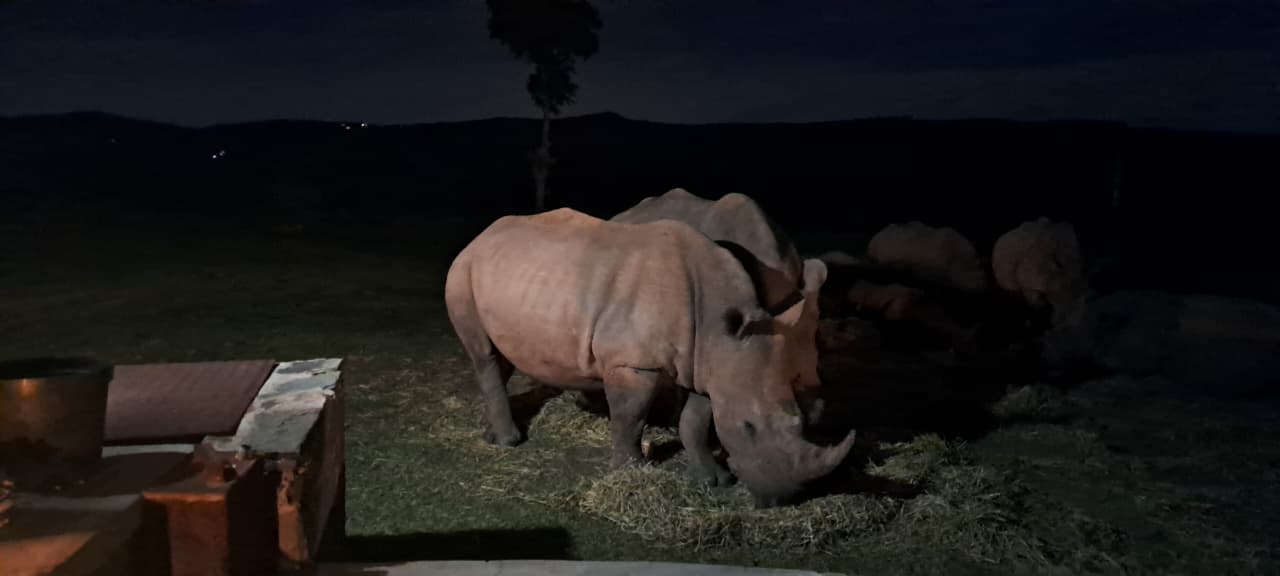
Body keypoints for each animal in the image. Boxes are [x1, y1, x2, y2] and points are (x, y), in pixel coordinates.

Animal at [444, 208, 854, 507]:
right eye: (749, 427)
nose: (783, 498)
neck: (717, 327)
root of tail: (481, 237)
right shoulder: (633, 363)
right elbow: (631, 418)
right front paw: (630, 473)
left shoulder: (706, 365)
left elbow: (695, 419)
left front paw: (711, 480)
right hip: (462, 271)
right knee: (484, 354)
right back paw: (508, 442)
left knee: (499, 355)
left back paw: (492, 433)